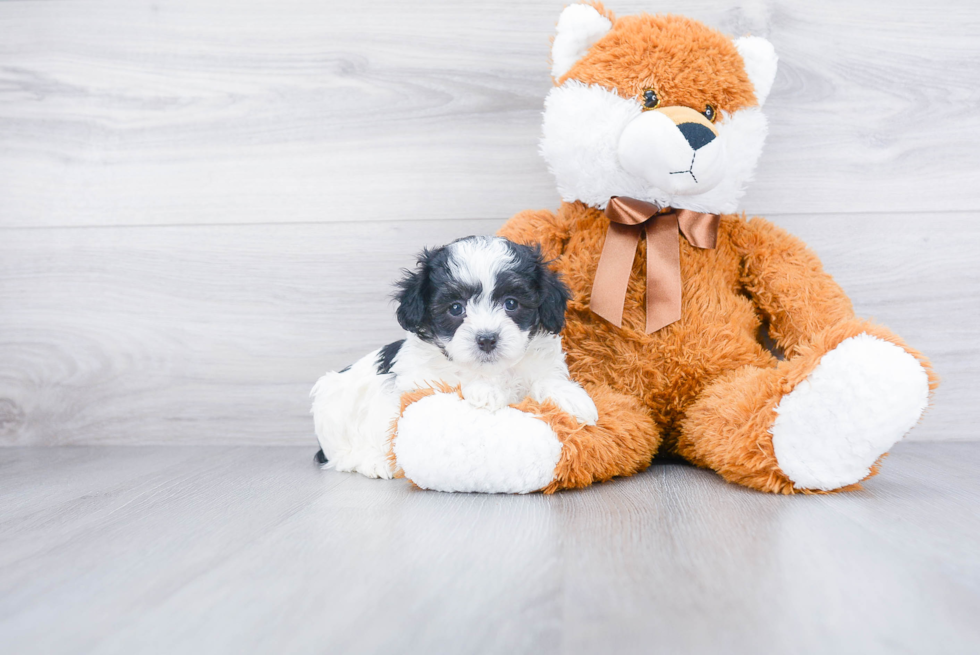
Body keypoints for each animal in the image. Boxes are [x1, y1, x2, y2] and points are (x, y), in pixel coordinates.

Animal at [310, 236, 596, 476]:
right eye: (456, 308)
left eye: (511, 303)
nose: (487, 338)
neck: (494, 370)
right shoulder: (419, 380)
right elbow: (455, 379)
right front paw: (485, 391)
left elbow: (546, 379)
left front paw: (574, 399)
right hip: (330, 407)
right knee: (340, 454)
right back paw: (374, 462)